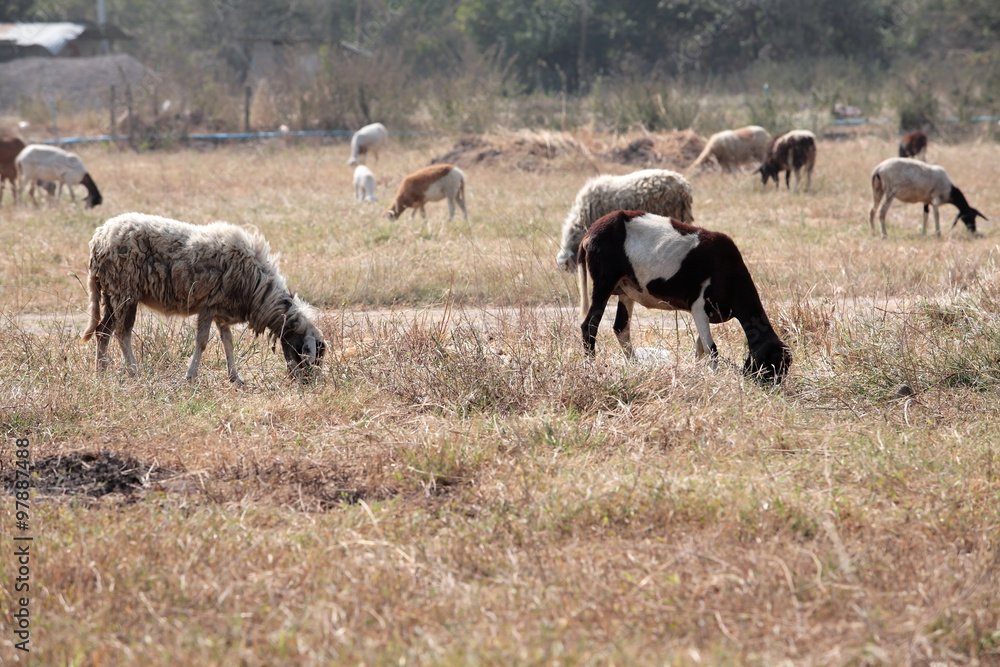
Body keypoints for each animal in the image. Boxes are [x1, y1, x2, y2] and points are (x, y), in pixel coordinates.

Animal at [81, 213, 325, 383]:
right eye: (312, 357)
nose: (307, 383)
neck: (260, 291)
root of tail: (98, 239)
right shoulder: (208, 307)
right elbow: (202, 342)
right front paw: (190, 376)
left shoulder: (221, 311)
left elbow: (228, 343)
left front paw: (235, 378)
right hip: (125, 291)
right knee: (122, 333)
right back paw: (134, 372)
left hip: (111, 294)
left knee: (103, 331)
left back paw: (100, 372)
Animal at [577, 210, 792, 384]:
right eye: (772, 366)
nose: (774, 389)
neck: (729, 273)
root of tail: (588, 235)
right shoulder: (698, 306)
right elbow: (712, 349)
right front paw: (713, 378)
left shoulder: (706, 315)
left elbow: (701, 347)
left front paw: (697, 373)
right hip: (604, 283)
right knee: (590, 325)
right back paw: (591, 368)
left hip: (625, 291)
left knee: (621, 328)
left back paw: (634, 366)